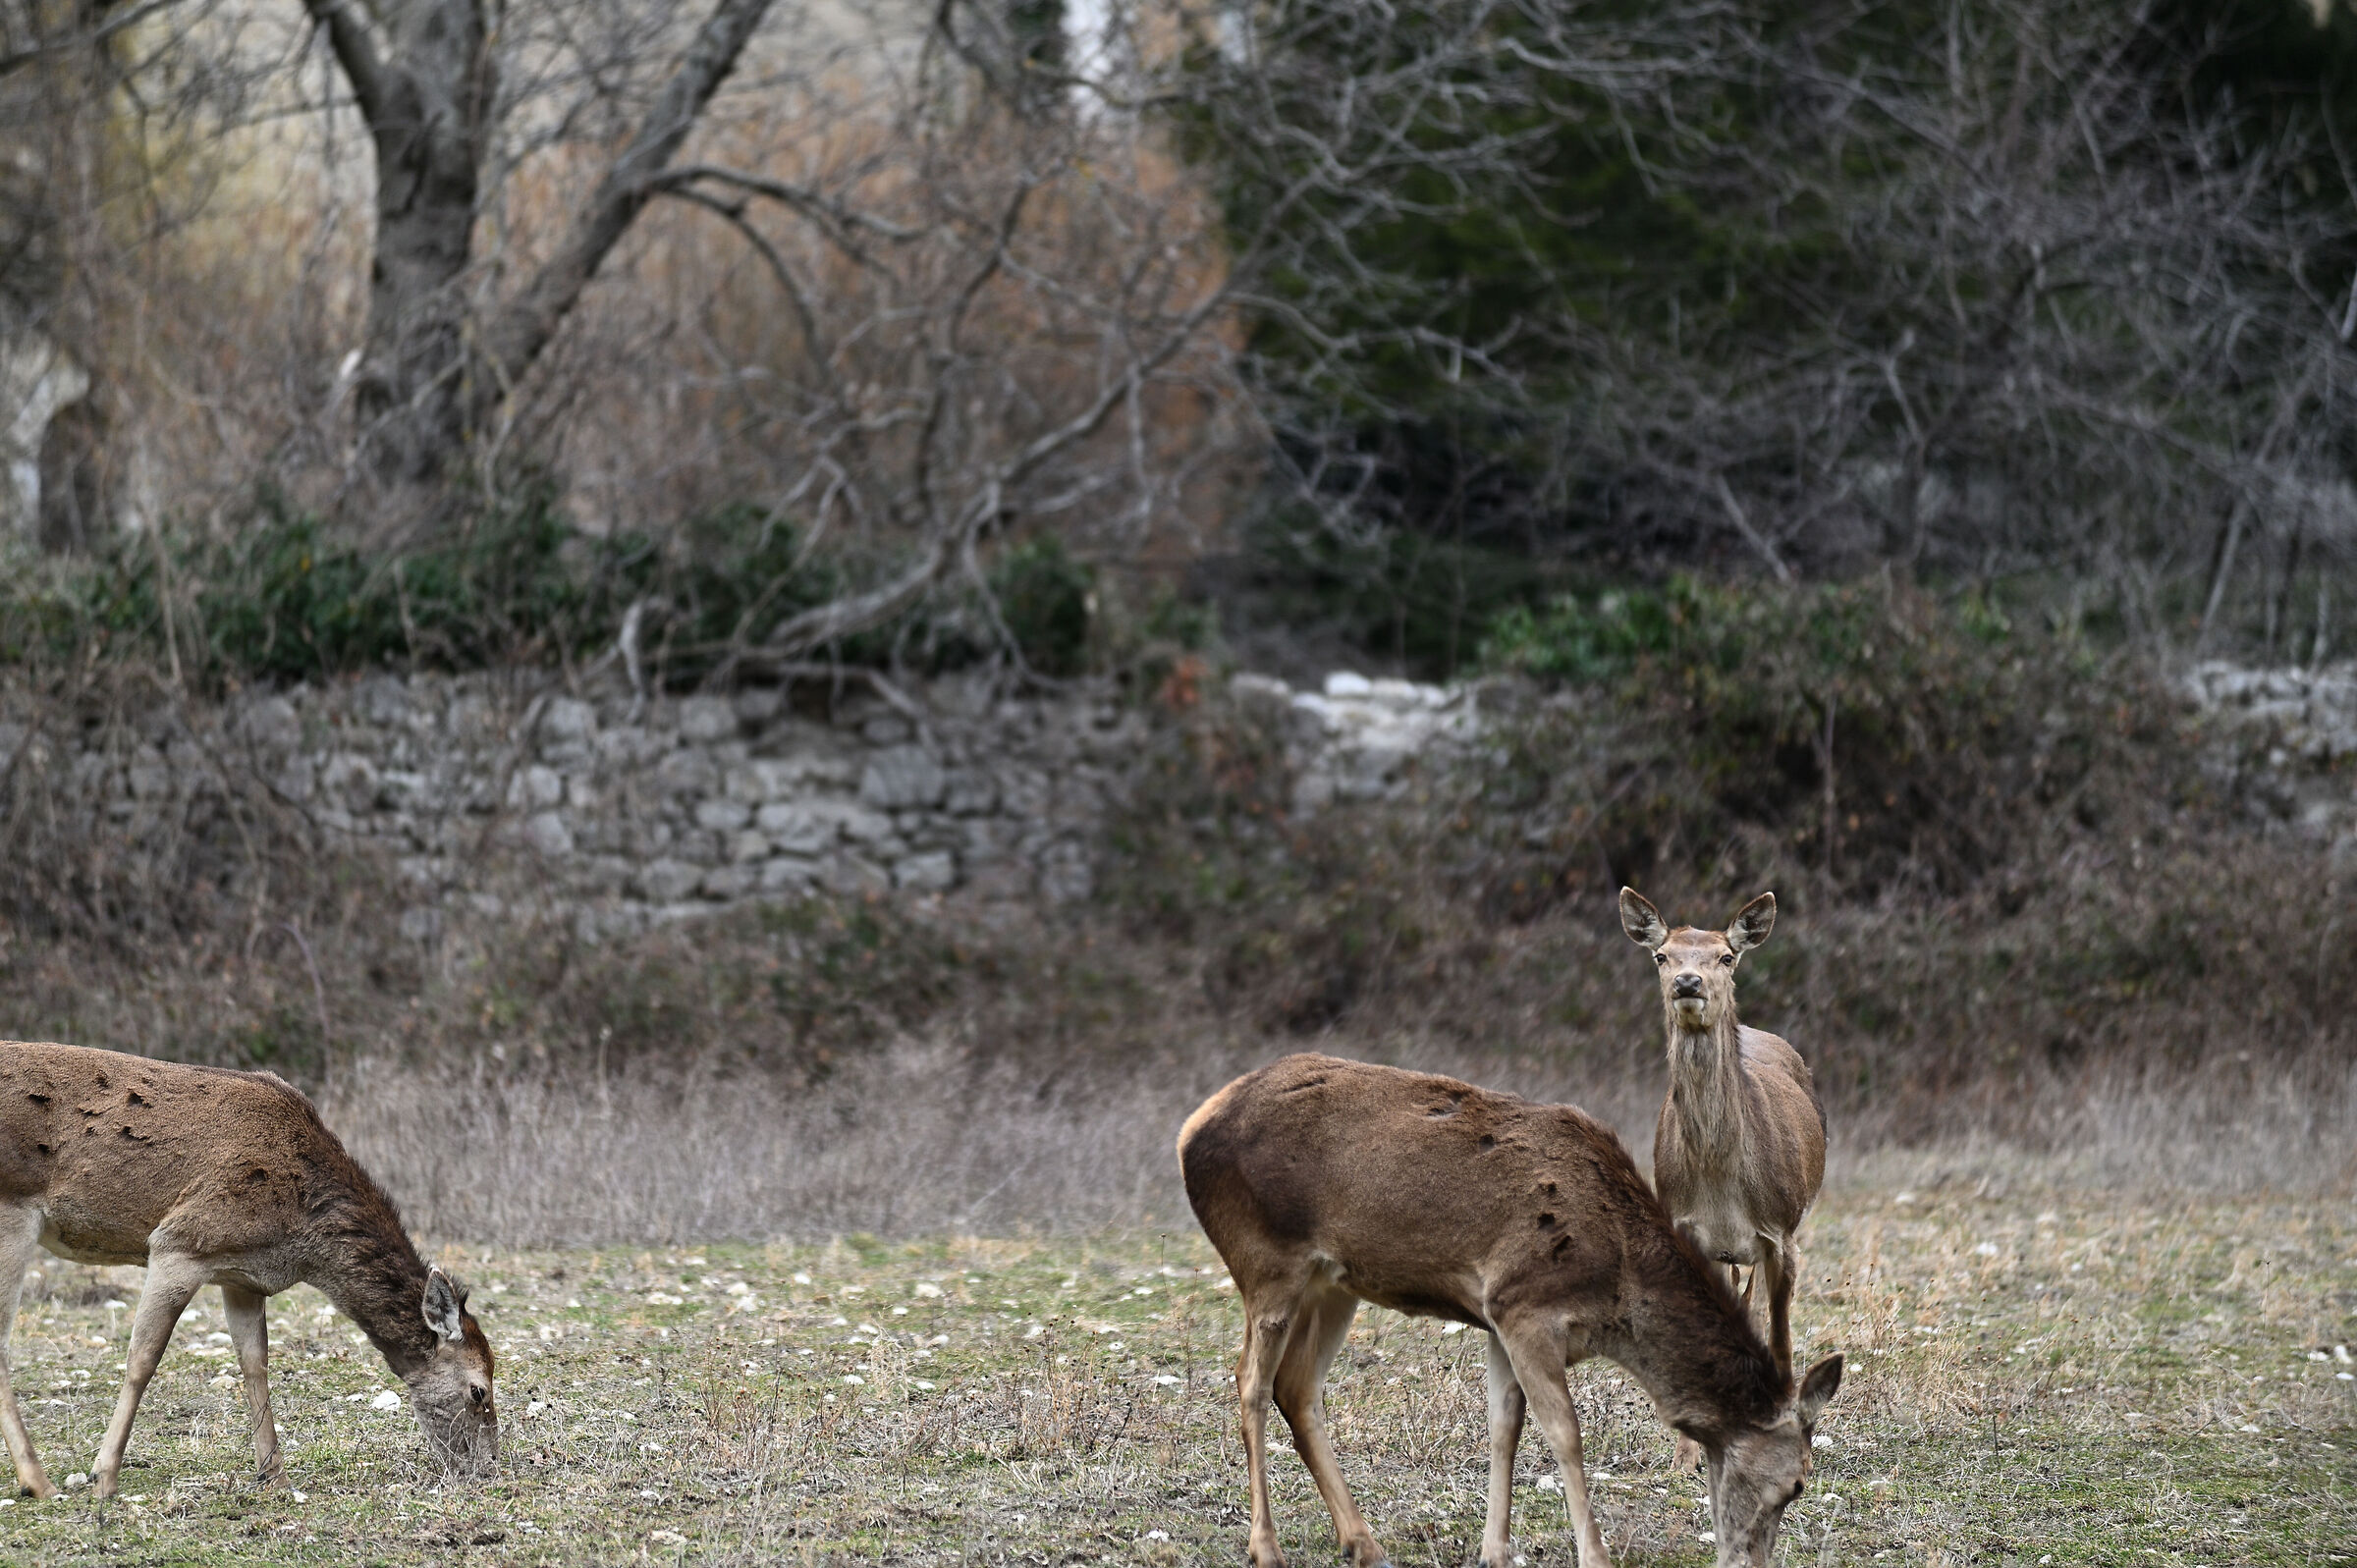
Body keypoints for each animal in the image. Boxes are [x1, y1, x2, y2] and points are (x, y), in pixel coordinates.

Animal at [0, 1039, 497, 1499]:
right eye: (479, 1390)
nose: (490, 1466)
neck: (298, 1239)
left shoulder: (242, 1276)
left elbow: (254, 1364)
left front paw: (274, 1476)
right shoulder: (178, 1244)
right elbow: (142, 1360)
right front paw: (104, 1477)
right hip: (13, 1210)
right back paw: (39, 1482)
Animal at [1180, 1052, 1843, 1568]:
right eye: (1797, 1483)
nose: (1748, 1561)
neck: (1619, 1294)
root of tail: (1192, 1126)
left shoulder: (1499, 1317)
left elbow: (1505, 1427)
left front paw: (1493, 1551)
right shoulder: (1526, 1307)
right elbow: (1564, 1433)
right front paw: (1594, 1555)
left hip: (1334, 1283)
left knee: (1297, 1386)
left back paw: (1362, 1543)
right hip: (1267, 1261)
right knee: (1250, 1382)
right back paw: (1266, 1547)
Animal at [1618, 888, 1824, 1425]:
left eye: (1726, 957)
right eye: (1661, 955)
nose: (1689, 982)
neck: (1720, 1181)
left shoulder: (1780, 1233)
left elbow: (1782, 1342)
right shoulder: (1685, 1228)